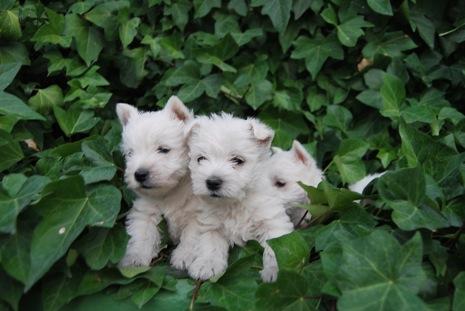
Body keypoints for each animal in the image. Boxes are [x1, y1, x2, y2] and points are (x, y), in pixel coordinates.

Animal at [118, 96, 196, 266]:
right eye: (130, 153)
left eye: (163, 149)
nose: (139, 174)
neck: (171, 191)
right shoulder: (145, 210)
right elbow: (142, 234)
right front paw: (134, 259)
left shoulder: (200, 213)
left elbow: (192, 235)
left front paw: (183, 257)